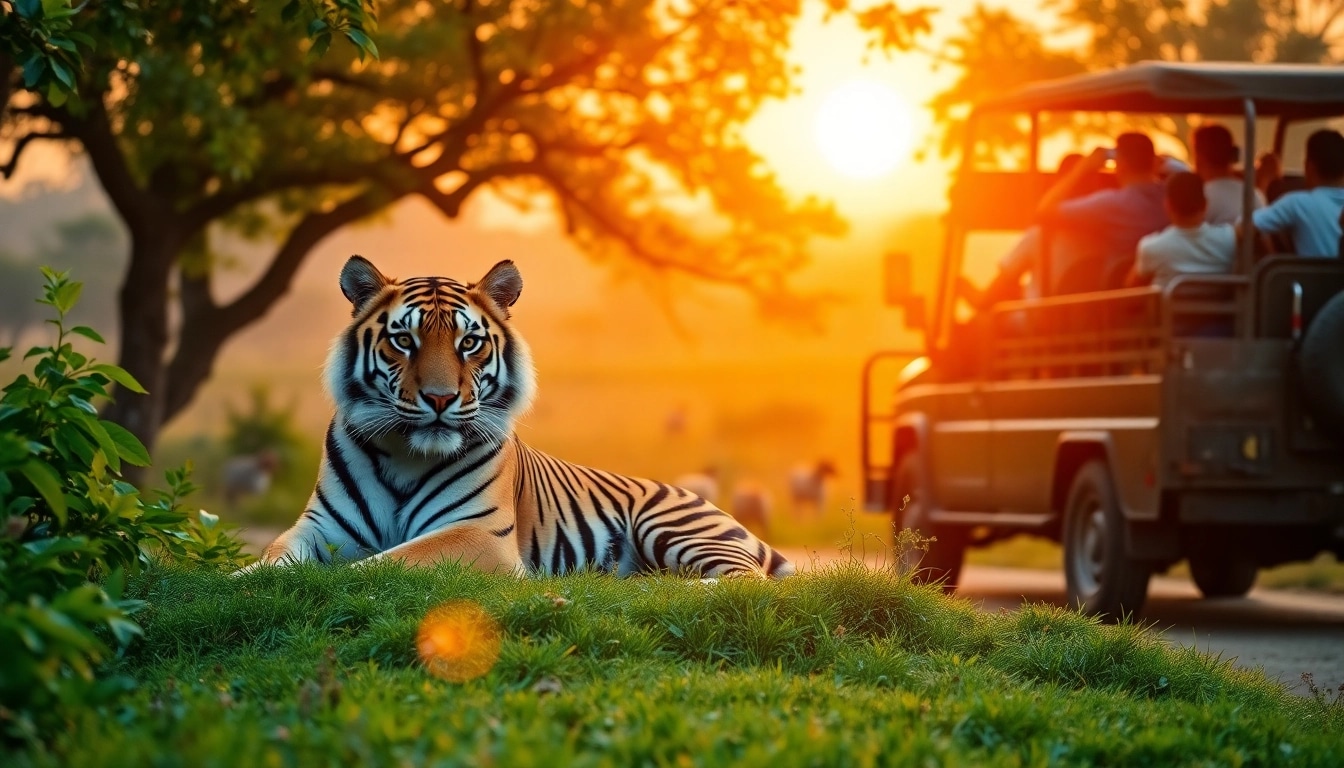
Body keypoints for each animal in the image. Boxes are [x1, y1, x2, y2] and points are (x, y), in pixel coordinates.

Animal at [253, 255, 795, 579]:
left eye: (468, 342)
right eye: (403, 340)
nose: (439, 398)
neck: (405, 455)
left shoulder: (478, 533)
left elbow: (385, 564)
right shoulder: (318, 527)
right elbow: (273, 558)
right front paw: (248, 582)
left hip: (670, 525)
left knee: (744, 581)